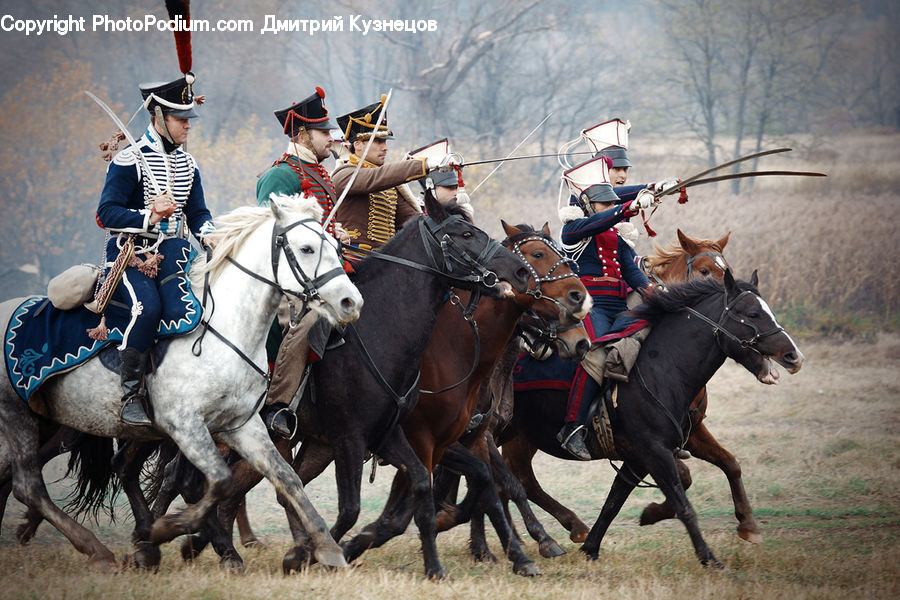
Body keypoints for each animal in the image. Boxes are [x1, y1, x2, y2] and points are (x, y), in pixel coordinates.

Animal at [502, 272, 804, 568]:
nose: (794, 356)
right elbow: (683, 502)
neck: (663, 367)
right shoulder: (655, 451)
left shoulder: (655, 450)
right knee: (515, 478)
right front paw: (709, 557)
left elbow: (617, 499)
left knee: (519, 478)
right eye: (752, 313)